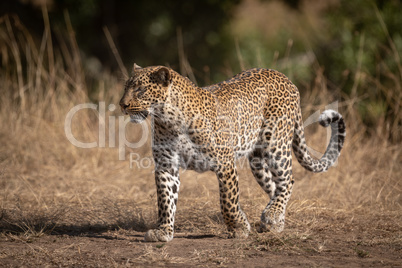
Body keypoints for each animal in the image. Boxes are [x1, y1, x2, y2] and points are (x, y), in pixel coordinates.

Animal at [119, 63, 346, 242]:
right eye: (126, 87)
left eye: (140, 89)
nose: (122, 104)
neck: (168, 119)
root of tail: (286, 78)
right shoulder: (166, 165)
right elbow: (166, 200)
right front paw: (163, 231)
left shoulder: (224, 163)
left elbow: (228, 201)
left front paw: (239, 228)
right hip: (257, 161)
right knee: (274, 186)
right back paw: (274, 222)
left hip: (276, 144)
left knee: (287, 181)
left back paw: (272, 215)